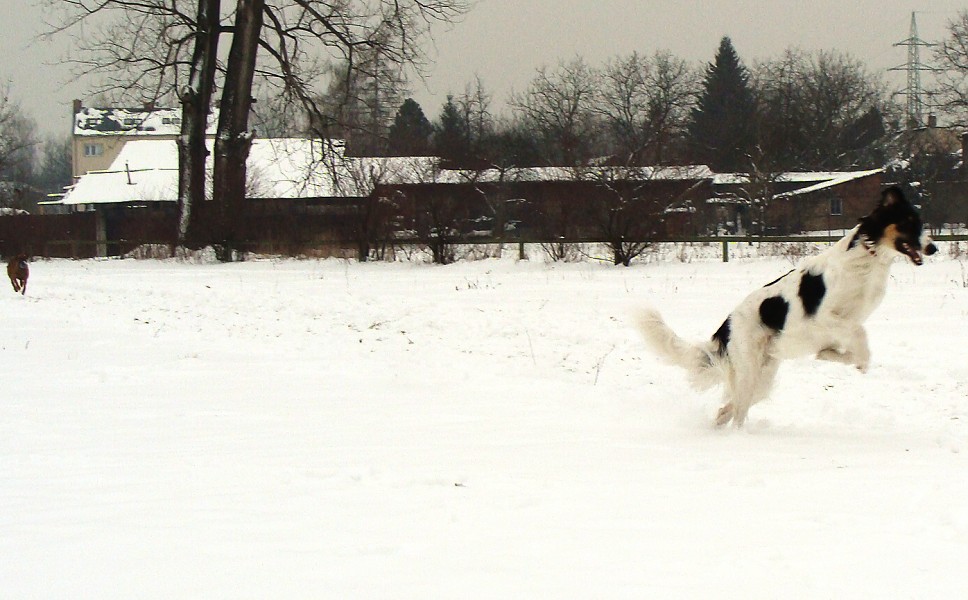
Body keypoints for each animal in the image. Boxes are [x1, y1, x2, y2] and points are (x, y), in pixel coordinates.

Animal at [640, 186, 932, 426]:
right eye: (908, 223)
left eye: (919, 223)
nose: (933, 248)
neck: (867, 259)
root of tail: (726, 326)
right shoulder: (825, 317)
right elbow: (859, 336)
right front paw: (853, 361)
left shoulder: (842, 327)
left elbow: (848, 349)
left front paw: (831, 356)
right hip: (749, 373)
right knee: (737, 414)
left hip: (762, 377)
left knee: (728, 409)